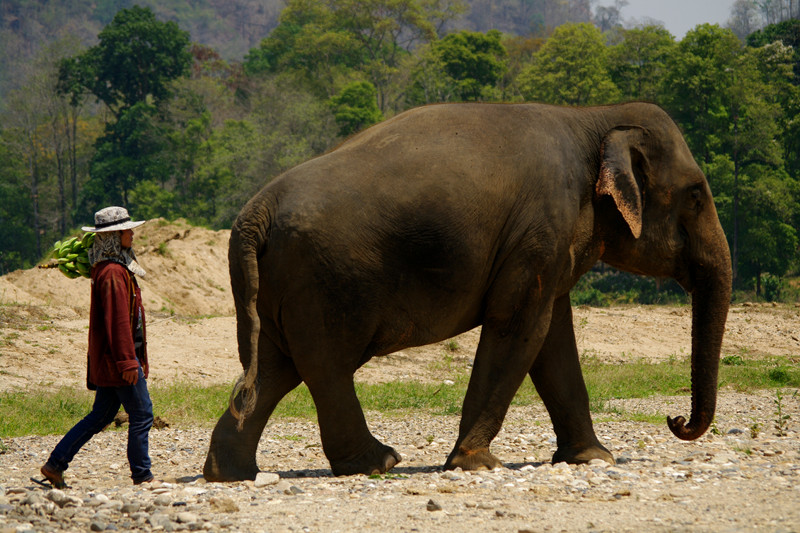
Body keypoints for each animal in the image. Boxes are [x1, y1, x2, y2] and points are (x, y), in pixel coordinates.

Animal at [202, 98, 732, 478]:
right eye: (696, 195)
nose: (676, 421)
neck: (594, 117)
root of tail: (255, 213)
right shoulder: (539, 229)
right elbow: (520, 328)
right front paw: (476, 463)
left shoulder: (545, 245)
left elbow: (553, 339)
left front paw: (593, 458)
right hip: (324, 282)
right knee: (325, 367)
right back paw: (379, 463)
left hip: (280, 288)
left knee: (274, 369)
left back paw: (229, 474)